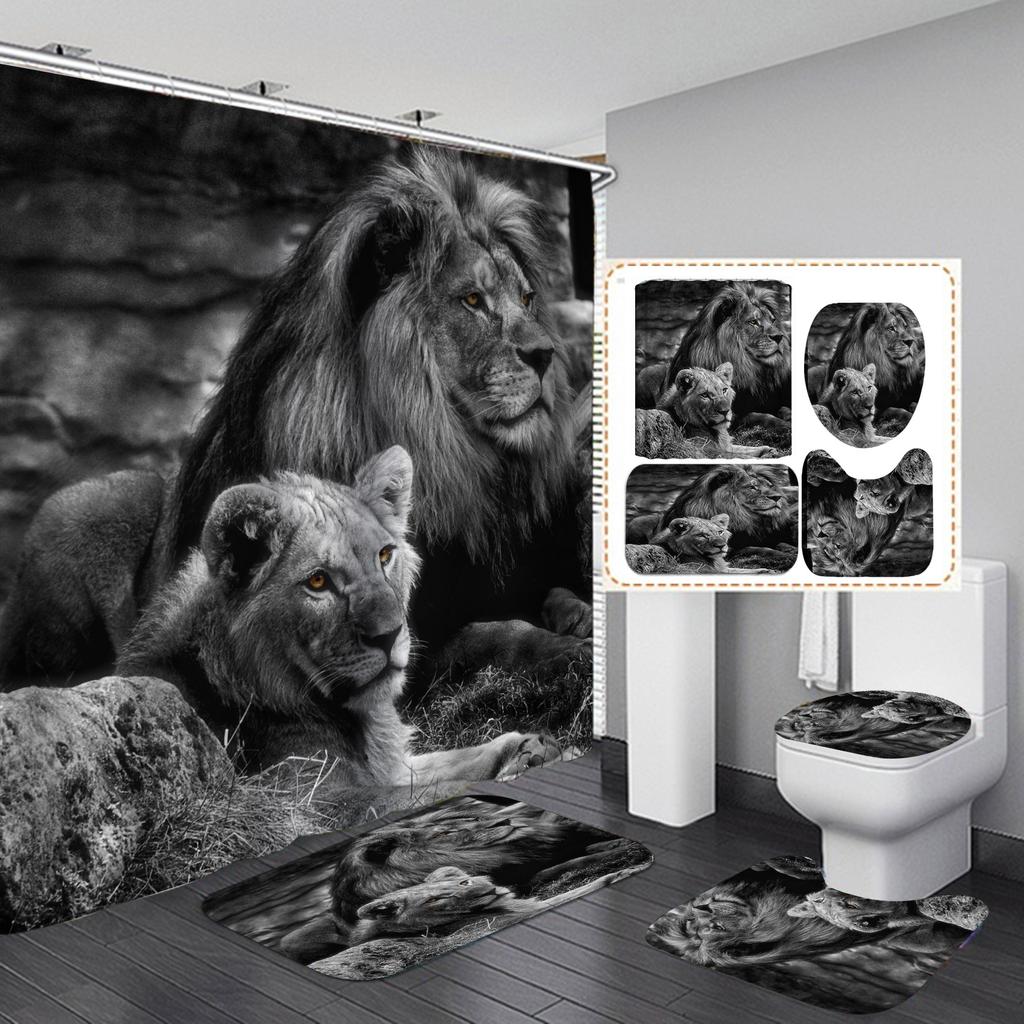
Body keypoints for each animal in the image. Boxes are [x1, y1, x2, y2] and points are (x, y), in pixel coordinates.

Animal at [0, 148, 590, 687]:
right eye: (471, 300)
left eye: (527, 298)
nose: (546, 355)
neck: (457, 464)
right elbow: (490, 634)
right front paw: (560, 649)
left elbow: (547, 594)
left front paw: (578, 615)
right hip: (96, 504)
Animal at [116, 447, 558, 784]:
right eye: (317, 582)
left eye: (385, 556)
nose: (389, 634)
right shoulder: (316, 808)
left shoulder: (394, 769)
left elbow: (452, 761)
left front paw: (529, 746)